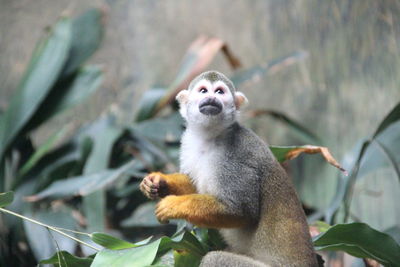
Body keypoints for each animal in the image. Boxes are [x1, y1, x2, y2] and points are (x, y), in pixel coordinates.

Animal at [141, 70, 318, 266]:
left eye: (219, 91)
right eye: (203, 90)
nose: (211, 98)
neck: (211, 137)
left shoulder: (238, 155)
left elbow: (241, 211)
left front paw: (173, 205)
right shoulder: (189, 142)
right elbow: (194, 186)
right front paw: (159, 181)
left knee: (214, 258)